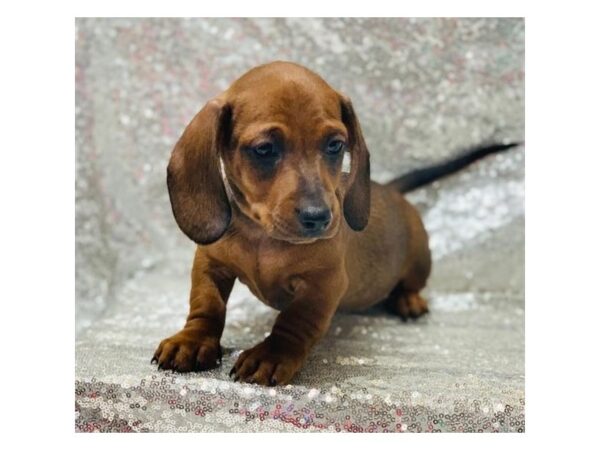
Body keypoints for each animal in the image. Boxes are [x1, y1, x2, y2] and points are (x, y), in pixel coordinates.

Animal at [152, 61, 516, 384]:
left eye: (335, 145)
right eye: (264, 149)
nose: (319, 217)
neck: (262, 238)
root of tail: (390, 189)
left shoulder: (323, 284)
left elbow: (294, 320)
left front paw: (272, 354)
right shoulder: (209, 263)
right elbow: (206, 305)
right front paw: (193, 340)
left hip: (420, 259)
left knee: (412, 282)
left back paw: (408, 299)